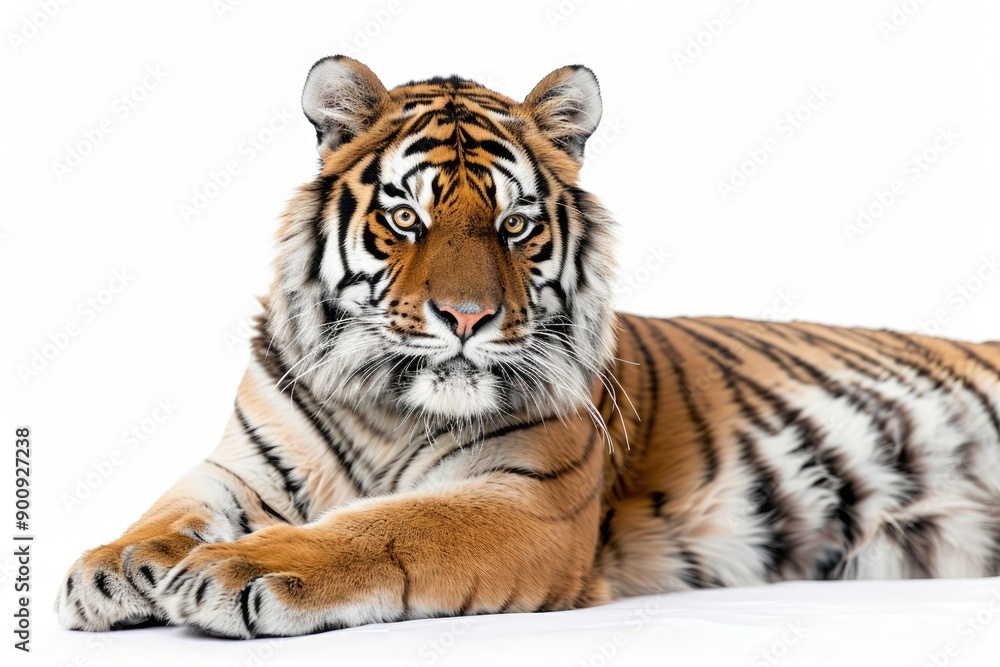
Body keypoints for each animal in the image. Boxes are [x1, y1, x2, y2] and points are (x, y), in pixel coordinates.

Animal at [57, 56, 1000, 639]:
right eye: (408, 217)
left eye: (514, 225)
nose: (466, 317)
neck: (387, 404)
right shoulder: (242, 463)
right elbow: (170, 508)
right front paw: (117, 566)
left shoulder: (530, 500)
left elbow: (391, 526)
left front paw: (235, 568)